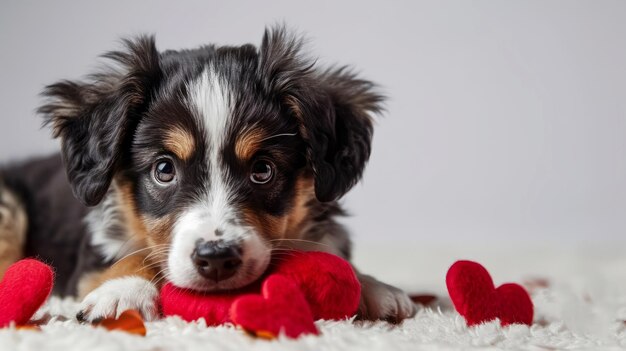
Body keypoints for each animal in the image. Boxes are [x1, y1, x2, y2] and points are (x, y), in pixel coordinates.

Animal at [0, 26, 414, 324]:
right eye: (164, 169)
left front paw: (373, 287)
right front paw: (122, 290)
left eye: (263, 170)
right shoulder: (88, 261)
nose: (216, 259)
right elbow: (133, 257)